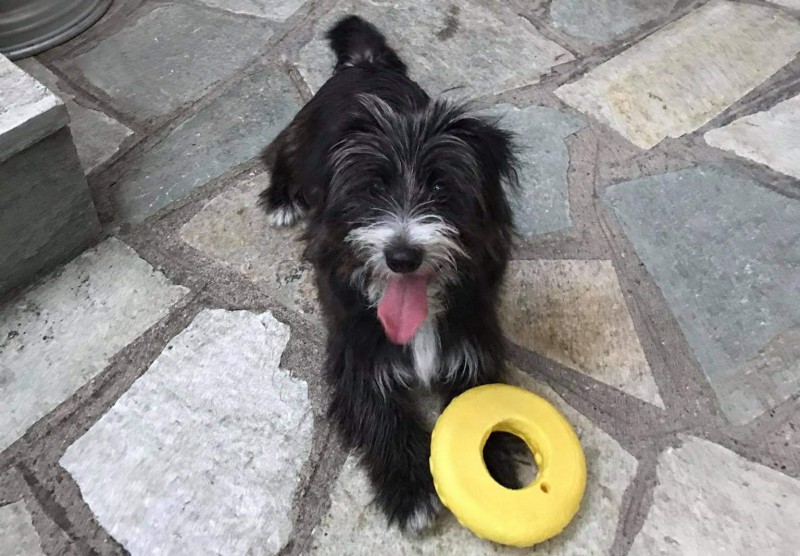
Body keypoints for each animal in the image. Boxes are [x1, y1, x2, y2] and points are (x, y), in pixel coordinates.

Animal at [260, 15, 522, 533]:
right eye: (372, 188)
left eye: (441, 187)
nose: (402, 256)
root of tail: (364, 63)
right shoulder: (355, 353)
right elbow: (378, 410)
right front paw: (412, 493)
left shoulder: (473, 340)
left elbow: (482, 399)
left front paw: (492, 471)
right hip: (302, 138)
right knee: (279, 151)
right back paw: (280, 199)